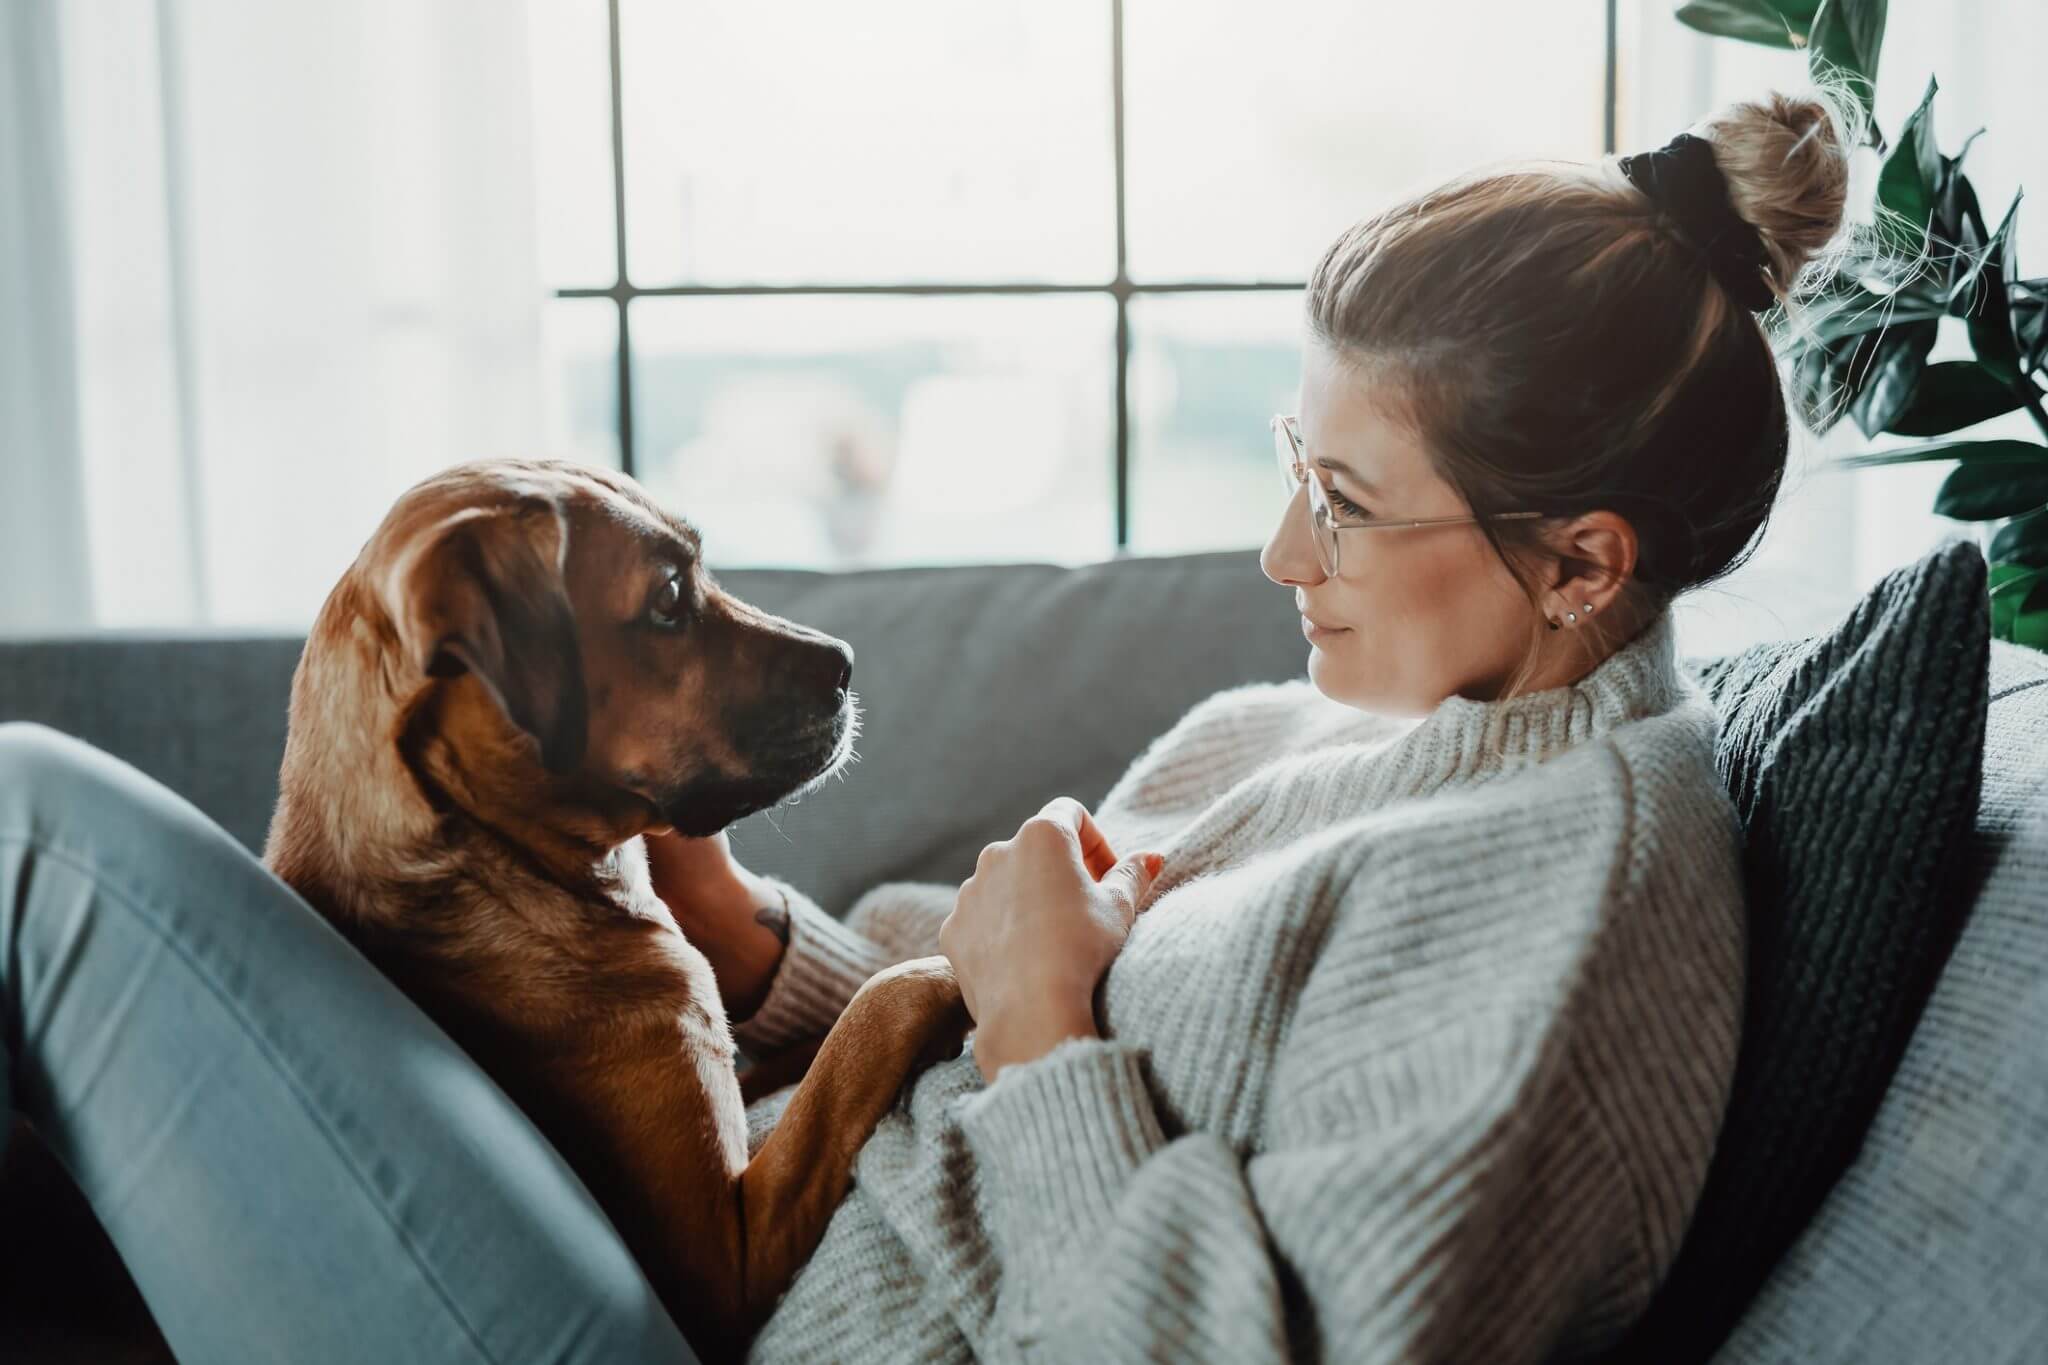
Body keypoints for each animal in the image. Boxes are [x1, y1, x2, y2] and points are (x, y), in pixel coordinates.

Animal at [262, 456, 966, 1358]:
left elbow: (814, 1047)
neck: (500, 863)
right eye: (667, 597)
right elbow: (872, 1016)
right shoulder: (726, 1256)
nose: (847, 662)